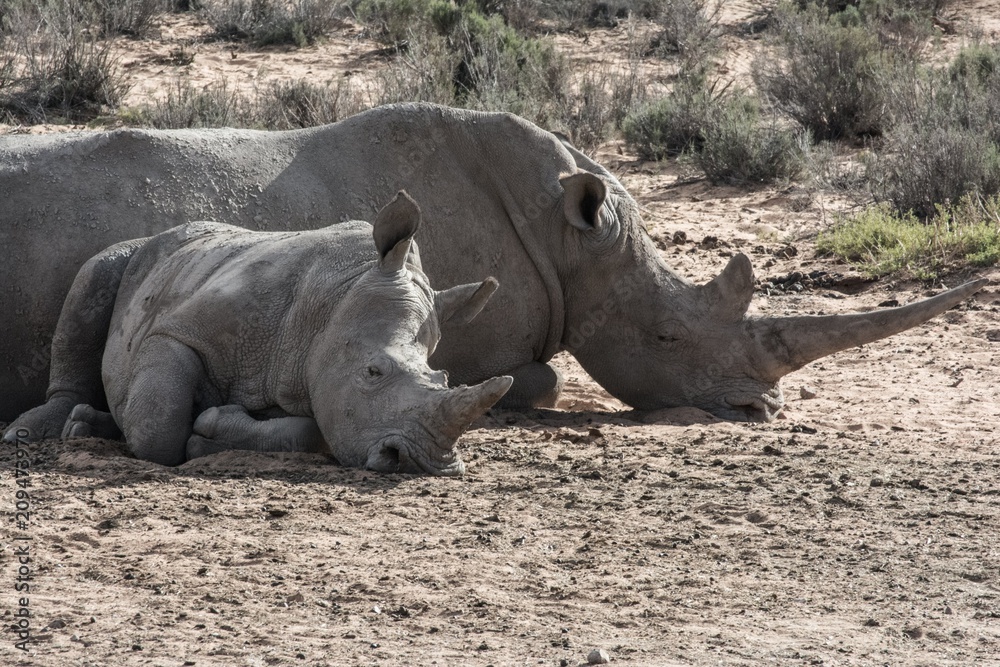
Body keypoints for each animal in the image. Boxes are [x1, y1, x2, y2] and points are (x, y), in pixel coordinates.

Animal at [16, 191, 512, 473]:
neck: (331, 302)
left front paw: (209, 431)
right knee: (97, 271)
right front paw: (195, 431)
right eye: (373, 372)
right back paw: (41, 430)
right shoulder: (180, 331)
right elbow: (157, 424)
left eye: (443, 379)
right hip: (137, 256)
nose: (421, 462)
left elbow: (312, 431)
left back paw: (85, 426)